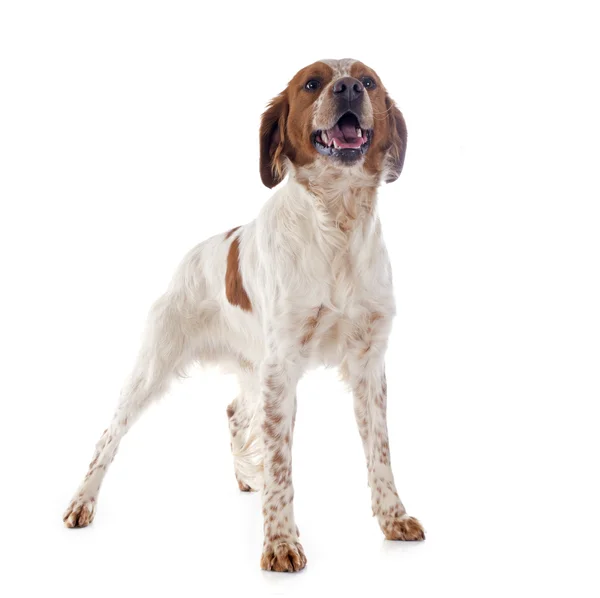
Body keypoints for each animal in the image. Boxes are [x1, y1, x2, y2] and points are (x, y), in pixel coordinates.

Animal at [63, 58, 424, 576]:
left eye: (369, 81)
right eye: (311, 83)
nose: (349, 87)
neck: (336, 223)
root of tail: (188, 259)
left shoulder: (368, 363)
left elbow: (380, 453)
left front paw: (394, 518)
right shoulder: (283, 368)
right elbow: (282, 465)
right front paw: (280, 543)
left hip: (254, 371)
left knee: (234, 411)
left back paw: (245, 477)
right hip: (157, 367)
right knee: (108, 435)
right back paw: (82, 502)